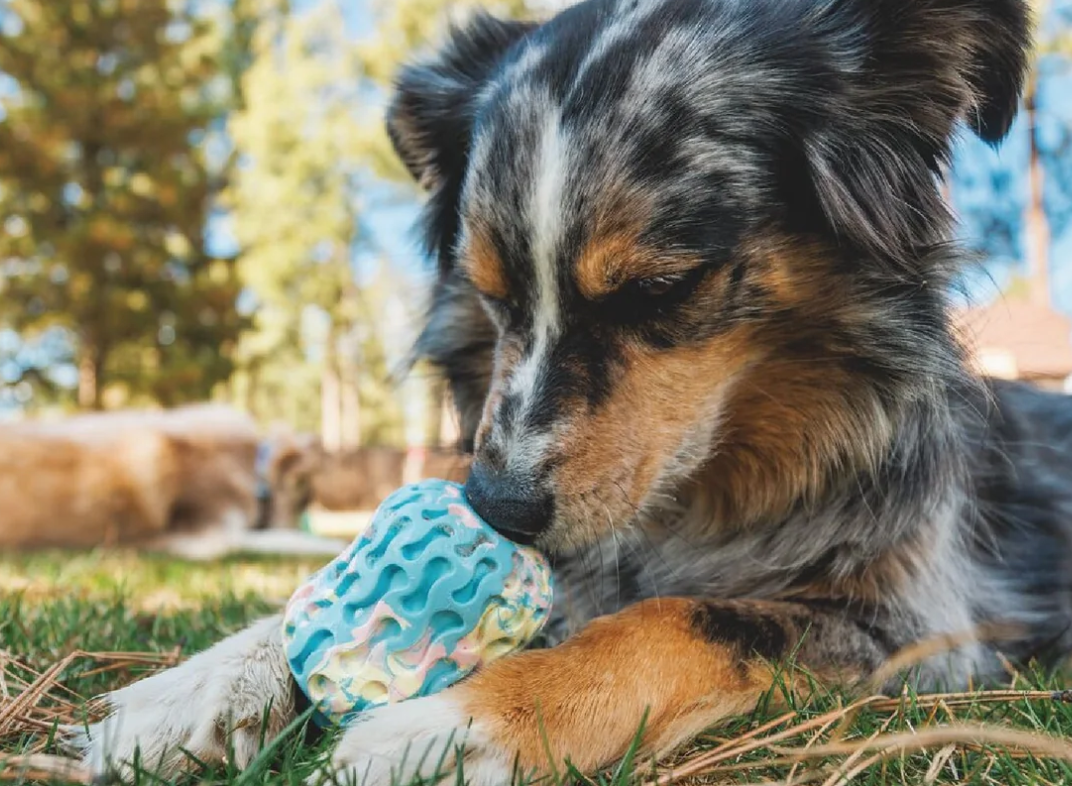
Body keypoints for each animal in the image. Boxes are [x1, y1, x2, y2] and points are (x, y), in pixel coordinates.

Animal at [73, 0, 1063, 780]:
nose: (498, 508)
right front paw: (201, 682)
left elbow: (685, 618)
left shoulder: (921, 625)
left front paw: (461, 725)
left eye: (662, 287)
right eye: (489, 290)